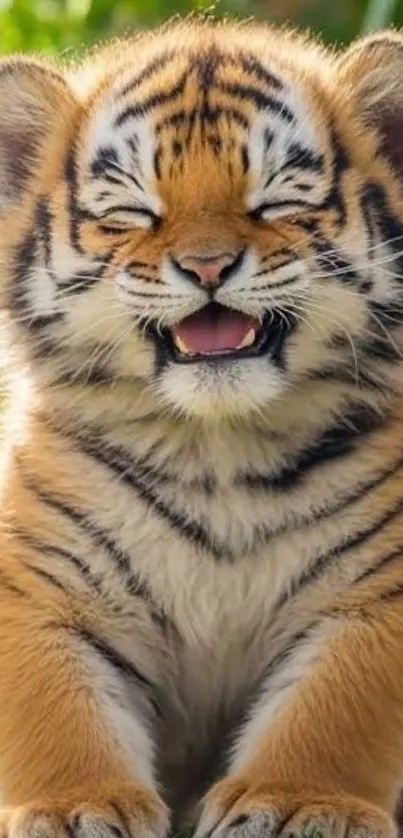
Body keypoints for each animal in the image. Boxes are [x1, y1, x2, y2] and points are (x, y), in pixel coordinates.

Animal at [3, 15, 403, 838]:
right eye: (133, 213)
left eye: (276, 202)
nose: (208, 266)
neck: (215, 445)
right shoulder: (42, 586)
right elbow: (56, 713)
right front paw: (76, 807)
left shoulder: (374, 591)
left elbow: (333, 710)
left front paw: (295, 804)